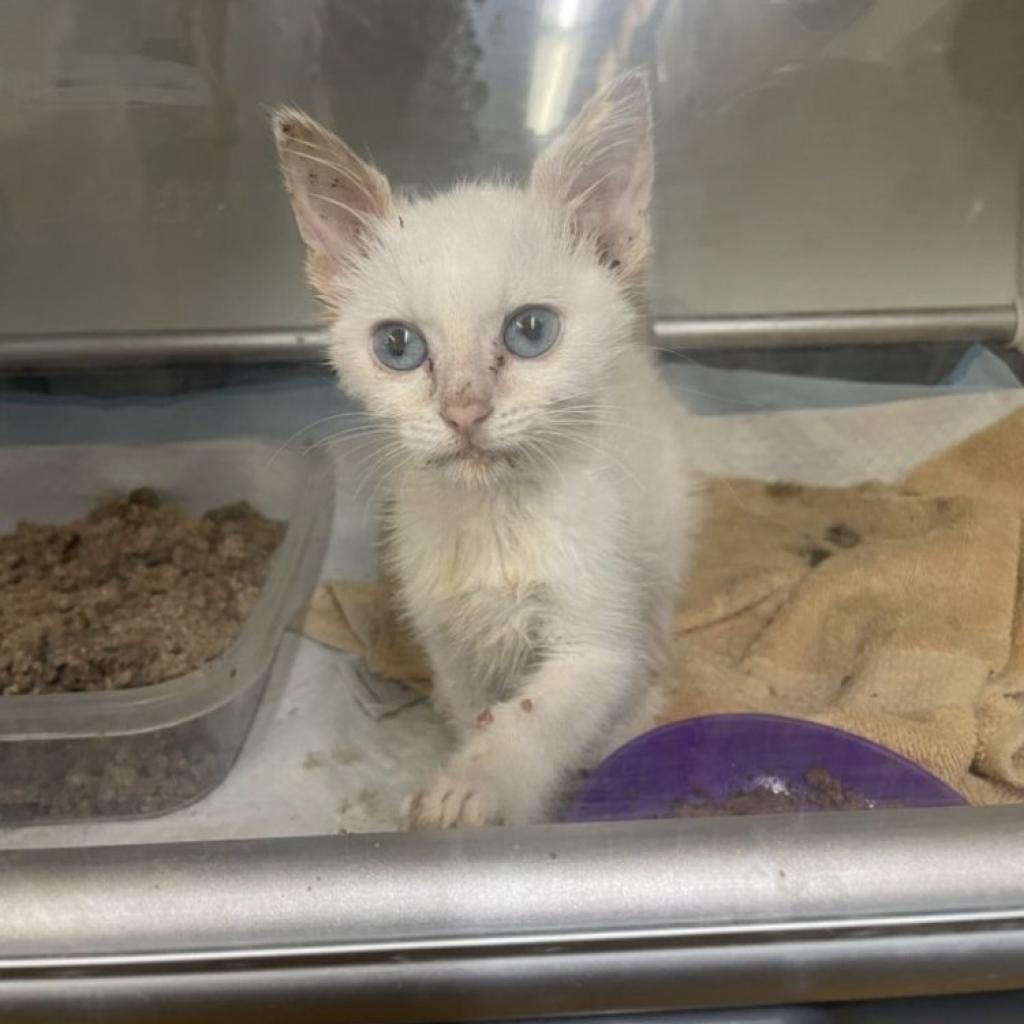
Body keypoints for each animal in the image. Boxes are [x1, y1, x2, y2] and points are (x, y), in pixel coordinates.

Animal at [272, 70, 696, 823]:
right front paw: (475, 769)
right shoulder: (448, 640)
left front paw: (475, 787)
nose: (463, 411)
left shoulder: (596, 639)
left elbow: (535, 715)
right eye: (398, 346)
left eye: (531, 331)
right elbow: (479, 711)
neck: (496, 522)